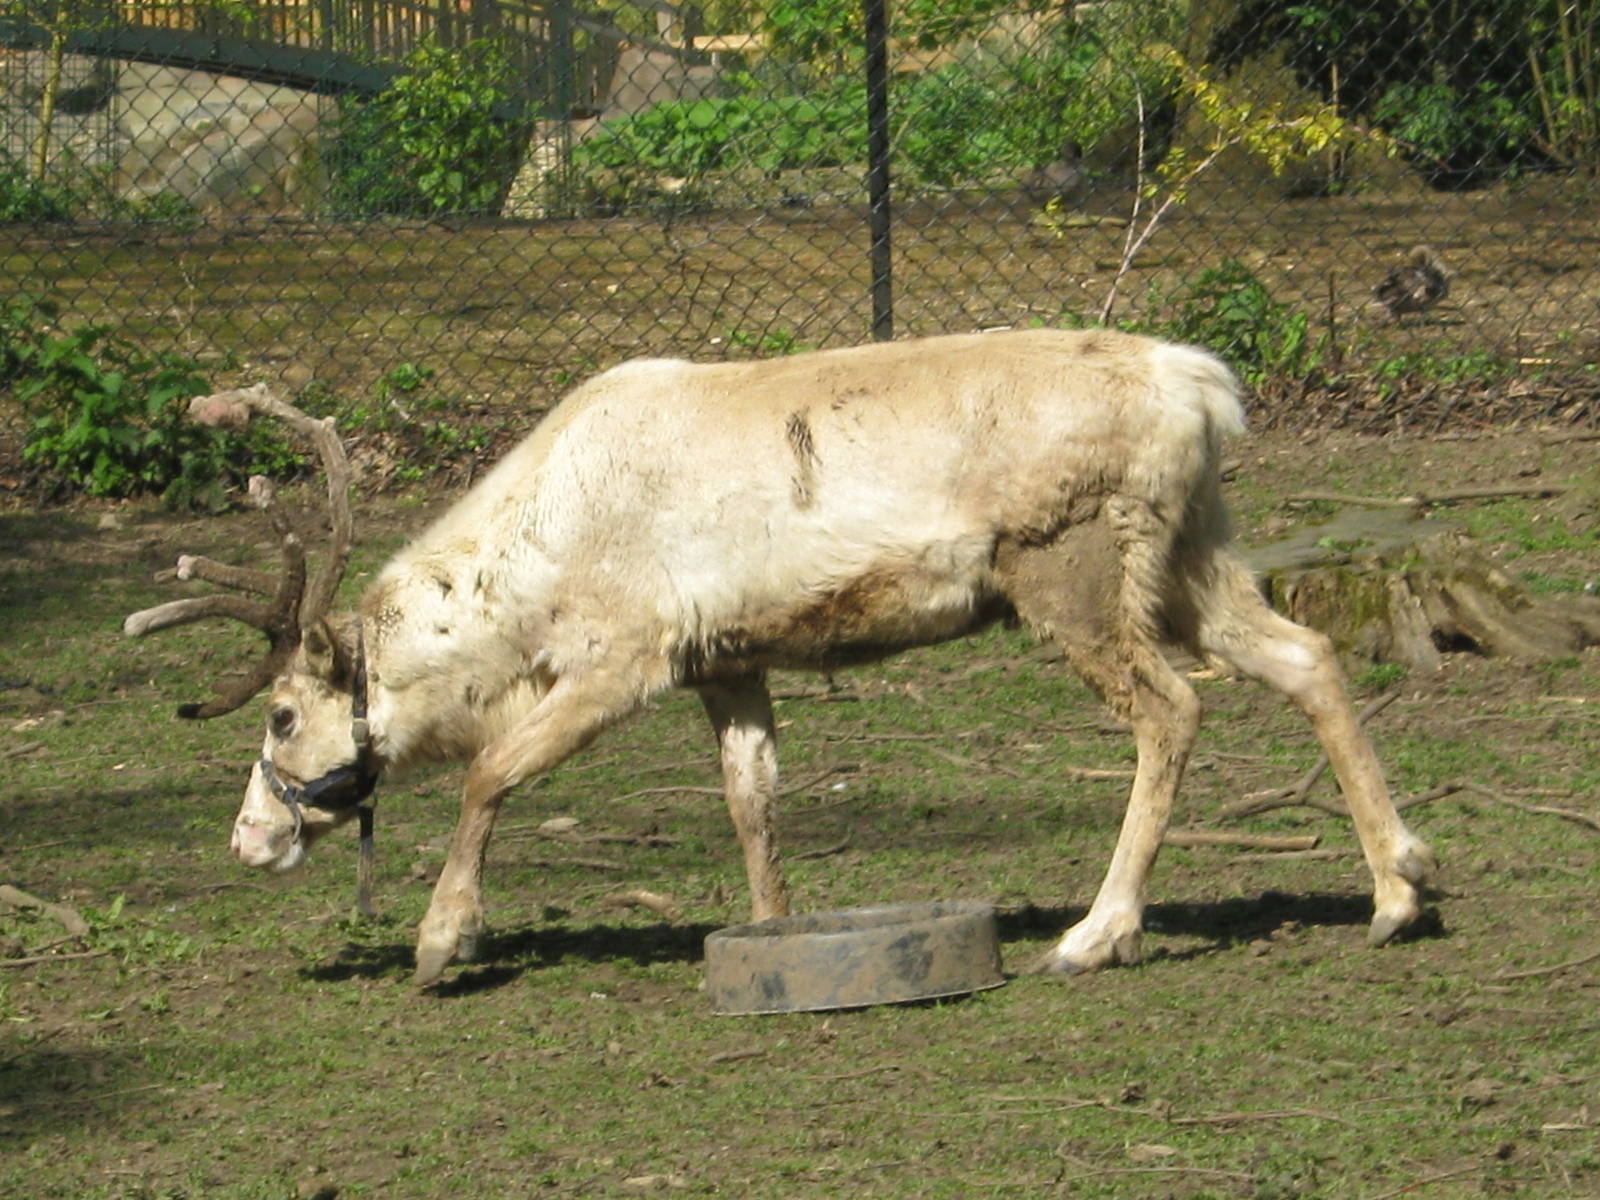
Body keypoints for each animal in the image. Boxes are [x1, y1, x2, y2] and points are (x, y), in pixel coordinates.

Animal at [125, 329, 1435, 987]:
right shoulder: (727, 660)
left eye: (281, 715)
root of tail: (1204, 388)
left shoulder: (624, 655)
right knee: (1307, 654)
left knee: (1170, 710)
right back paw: (1397, 889)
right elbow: (751, 800)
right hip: (1190, 551)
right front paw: (767, 931)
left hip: (1069, 566)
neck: (526, 578)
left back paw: (1095, 933)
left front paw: (443, 944)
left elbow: (491, 773)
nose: (248, 838)